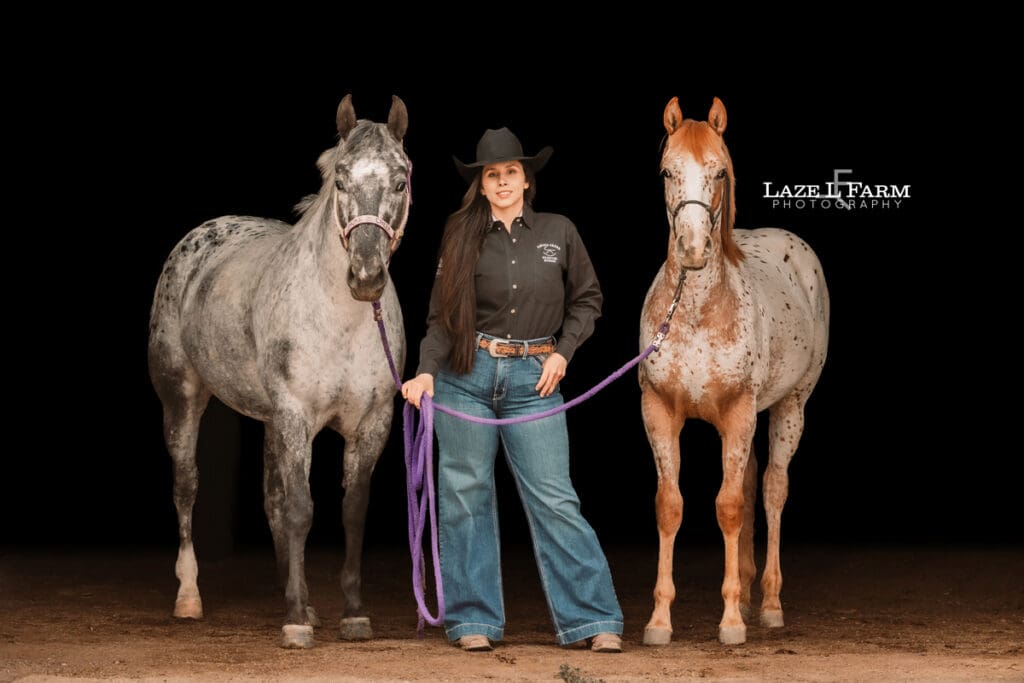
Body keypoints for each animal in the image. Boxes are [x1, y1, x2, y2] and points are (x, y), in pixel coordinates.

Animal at [147, 95, 409, 649]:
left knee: (270, 500)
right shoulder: (295, 417)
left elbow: (350, 511)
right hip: (183, 399)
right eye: (341, 180)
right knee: (187, 487)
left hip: (268, 420)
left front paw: (350, 615)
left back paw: (300, 600)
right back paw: (190, 598)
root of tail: (199, 237)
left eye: (400, 181)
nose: (366, 277)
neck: (339, 320)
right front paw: (295, 622)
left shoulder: (372, 422)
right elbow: (300, 510)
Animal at [639, 97, 829, 646]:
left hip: (789, 408)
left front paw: (730, 622)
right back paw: (745, 591)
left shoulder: (740, 413)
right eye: (667, 170)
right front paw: (659, 621)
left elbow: (728, 507)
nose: (693, 248)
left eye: (719, 171)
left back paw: (766, 603)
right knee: (746, 487)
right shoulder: (658, 412)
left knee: (770, 490)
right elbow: (671, 505)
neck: (697, 313)